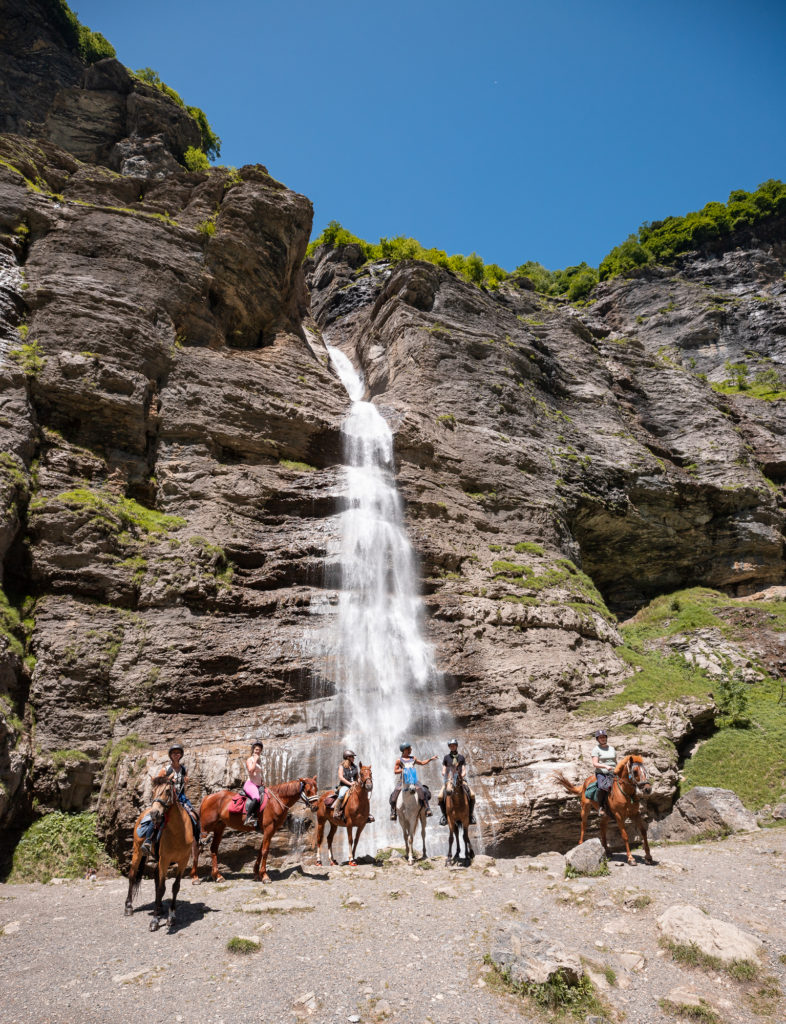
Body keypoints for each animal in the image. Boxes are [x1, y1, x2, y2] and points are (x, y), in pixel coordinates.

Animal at [124, 770, 196, 933]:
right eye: (153, 791)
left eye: (168, 790)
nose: (155, 814)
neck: (178, 833)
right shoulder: (165, 859)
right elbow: (162, 888)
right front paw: (155, 921)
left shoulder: (183, 861)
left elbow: (175, 887)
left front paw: (171, 918)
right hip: (137, 852)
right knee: (132, 876)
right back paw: (129, 907)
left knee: (156, 878)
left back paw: (160, 907)